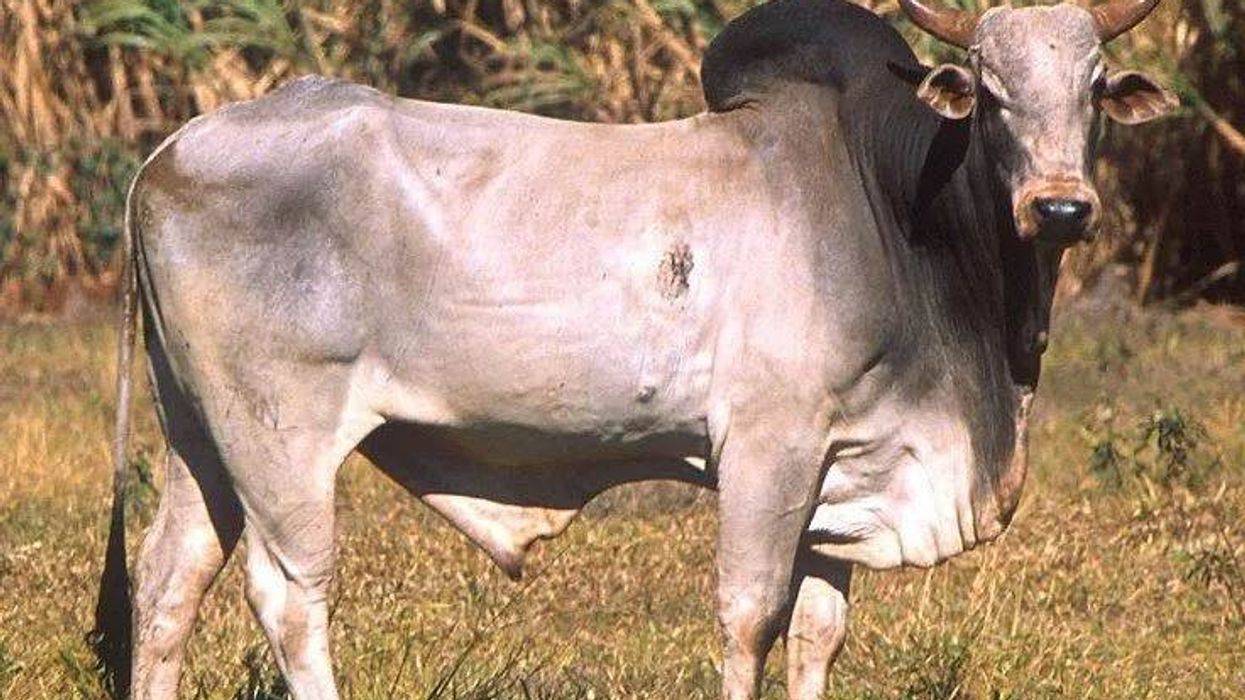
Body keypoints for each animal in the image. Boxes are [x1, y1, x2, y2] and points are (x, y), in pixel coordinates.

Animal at [92, 0, 1176, 698]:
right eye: (989, 93)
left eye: (1091, 89)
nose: (1062, 207)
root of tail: (169, 150)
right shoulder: (768, 449)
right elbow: (750, 616)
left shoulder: (844, 473)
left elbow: (818, 634)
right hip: (281, 436)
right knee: (291, 593)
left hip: (201, 435)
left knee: (169, 582)